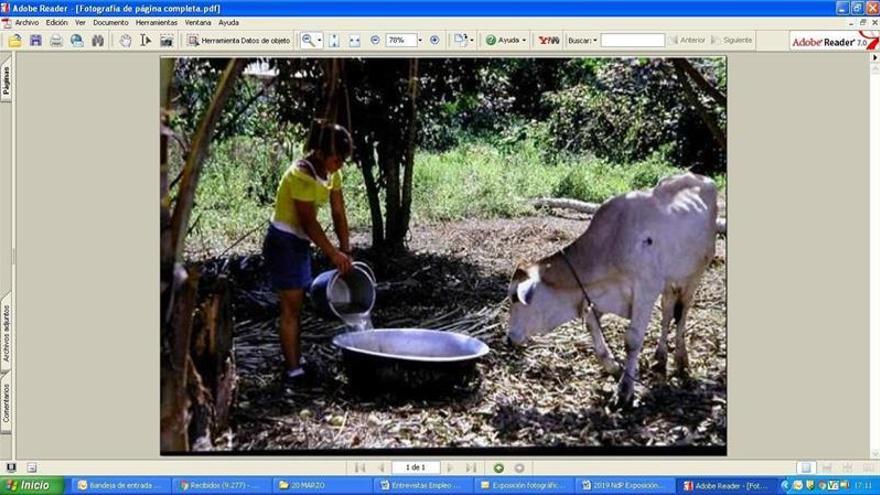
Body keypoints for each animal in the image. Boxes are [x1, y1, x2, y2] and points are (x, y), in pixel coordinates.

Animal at [506, 174, 720, 406]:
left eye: (515, 297)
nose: (509, 338)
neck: (610, 244)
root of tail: (702, 178)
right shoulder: (598, 298)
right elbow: (593, 327)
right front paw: (615, 368)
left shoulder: (646, 290)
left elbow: (632, 340)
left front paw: (625, 389)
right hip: (670, 282)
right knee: (667, 312)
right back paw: (660, 358)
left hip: (694, 274)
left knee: (682, 314)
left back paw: (681, 360)